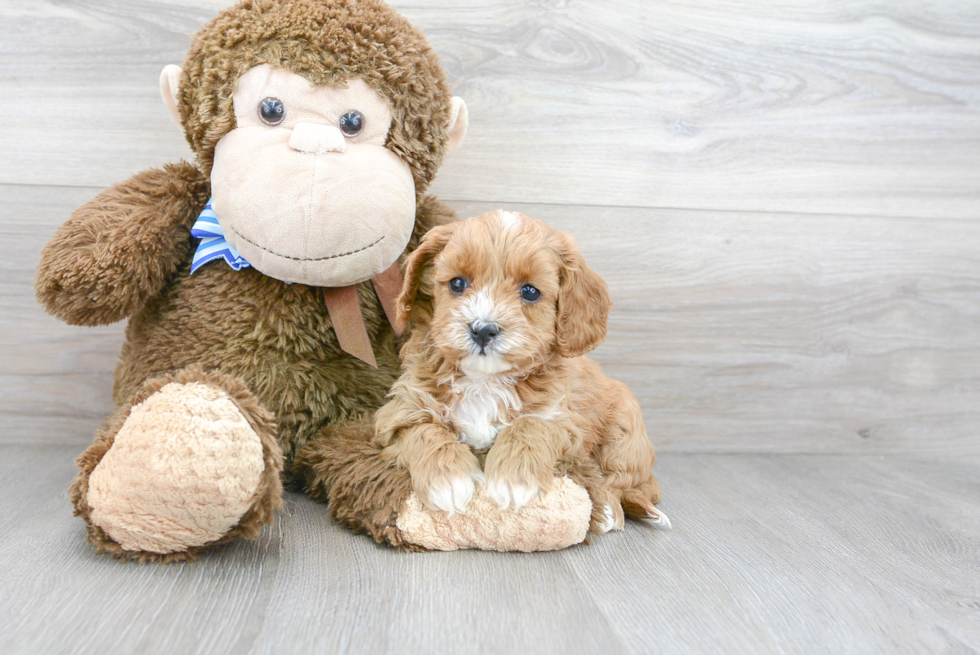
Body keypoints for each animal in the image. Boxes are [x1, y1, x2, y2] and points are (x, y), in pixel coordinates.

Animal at [374, 210, 668, 532]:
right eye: (457, 283)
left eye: (529, 291)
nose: (483, 329)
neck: (484, 380)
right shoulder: (401, 412)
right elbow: (425, 430)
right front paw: (448, 480)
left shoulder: (562, 419)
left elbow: (529, 425)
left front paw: (513, 480)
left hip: (626, 427)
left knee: (624, 483)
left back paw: (611, 510)